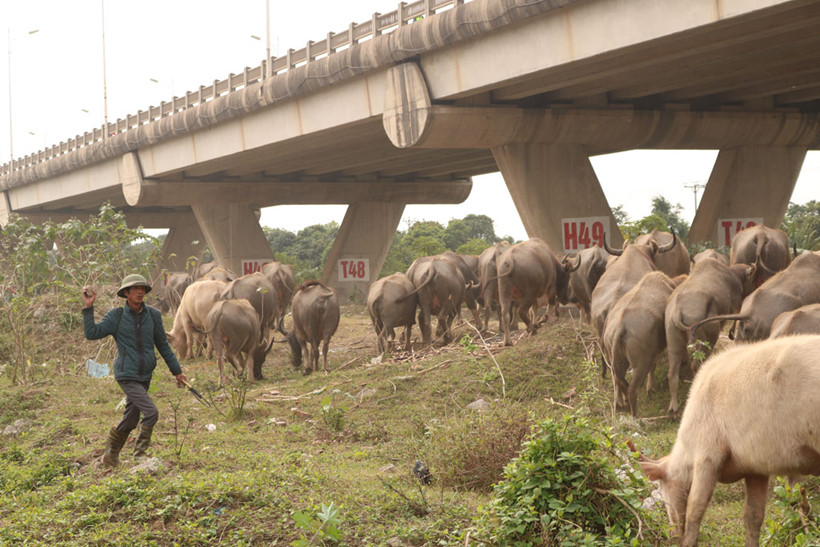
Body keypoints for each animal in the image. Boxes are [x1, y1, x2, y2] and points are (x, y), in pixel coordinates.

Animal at [640, 336, 820, 544]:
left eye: (663, 492)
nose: (671, 536)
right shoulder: (755, 468)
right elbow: (753, 516)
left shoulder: (708, 453)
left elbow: (695, 508)